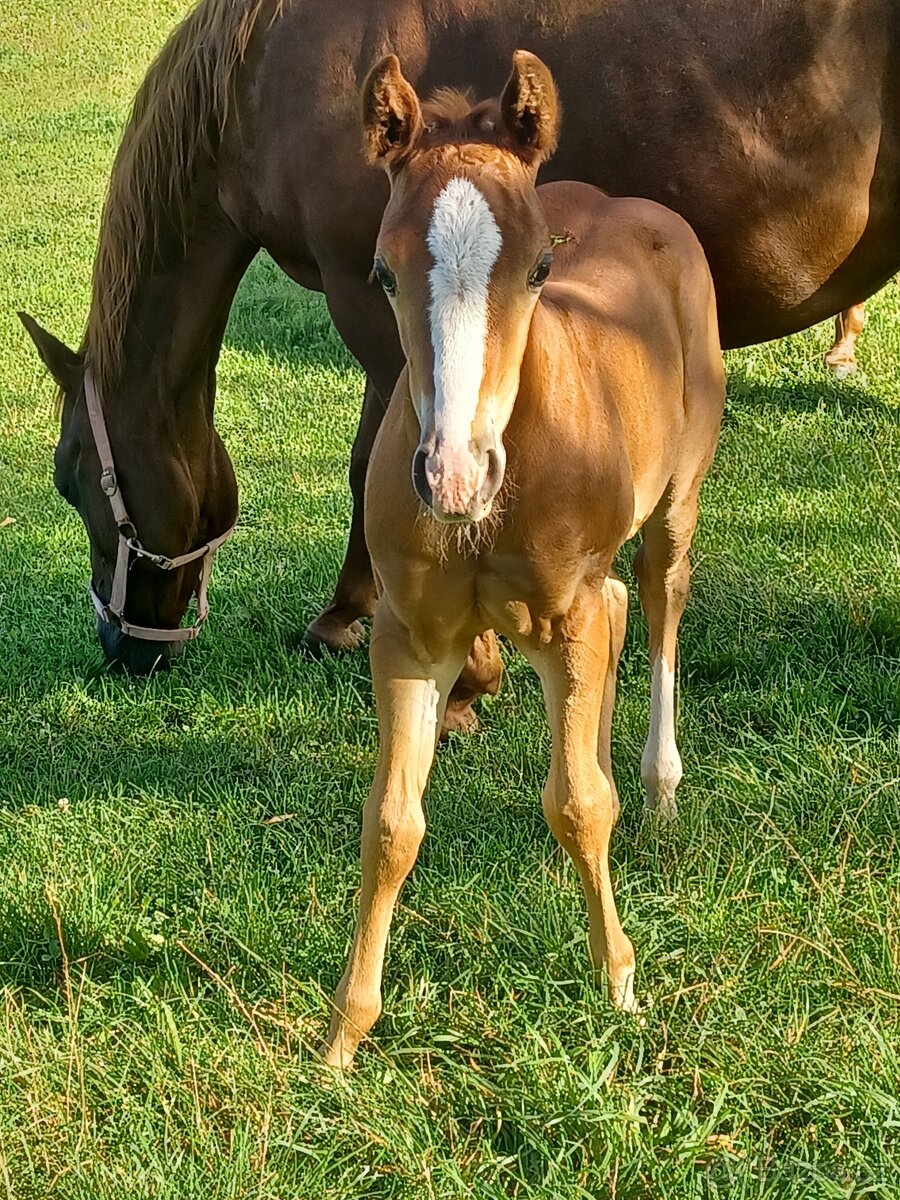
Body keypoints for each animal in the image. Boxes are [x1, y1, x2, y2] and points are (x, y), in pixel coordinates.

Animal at [19, 0, 898, 694]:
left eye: (69, 482)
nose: (120, 646)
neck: (265, 70)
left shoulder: (370, 309)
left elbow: (372, 462)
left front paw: (347, 618)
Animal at [322, 50, 725, 1068]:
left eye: (541, 266)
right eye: (382, 270)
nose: (454, 476)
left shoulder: (563, 615)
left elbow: (579, 804)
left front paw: (619, 982)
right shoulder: (408, 635)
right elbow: (391, 825)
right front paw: (345, 1033)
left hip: (677, 501)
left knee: (655, 603)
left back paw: (658, 784)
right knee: (618, 610)